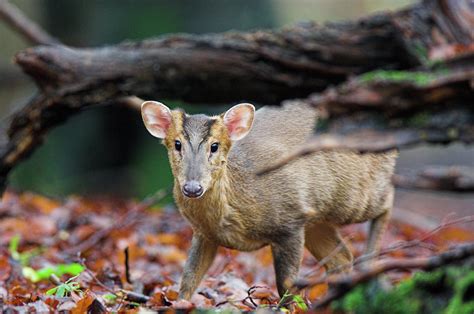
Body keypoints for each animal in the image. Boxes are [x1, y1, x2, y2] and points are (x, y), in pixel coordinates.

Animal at [140, 100, 396, 300]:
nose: (192, 187)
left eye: (214, 146)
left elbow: (287, 285)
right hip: (316, 217)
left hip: (353, 195)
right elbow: (188, 280)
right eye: (177, 144)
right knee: (342, 257)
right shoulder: (204, 233)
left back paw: (369, 265)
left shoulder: (290, 221)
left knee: (388, 200)